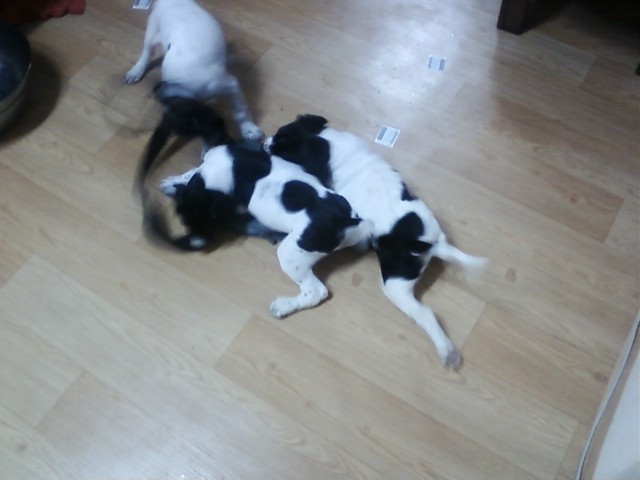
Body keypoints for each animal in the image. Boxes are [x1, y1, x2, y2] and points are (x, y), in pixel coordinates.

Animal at [125, 0, 262, 141]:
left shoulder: (229, 84)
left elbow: (240, 110)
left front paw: (248, 128)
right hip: (152, 33)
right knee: (146, 54)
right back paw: (137, 70)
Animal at [159, 144, 373, 317]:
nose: (196, 242)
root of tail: (347, 220)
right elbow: (188, 174)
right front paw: (170, 182)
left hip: (291, 254)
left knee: (315, 291)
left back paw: (283, 306)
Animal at [264, 114, 487, 369]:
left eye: (281, 142)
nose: (264, 142)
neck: (331, 145)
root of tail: (431, 244)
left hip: (396, 285)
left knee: (426, 314)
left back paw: (446, 350)